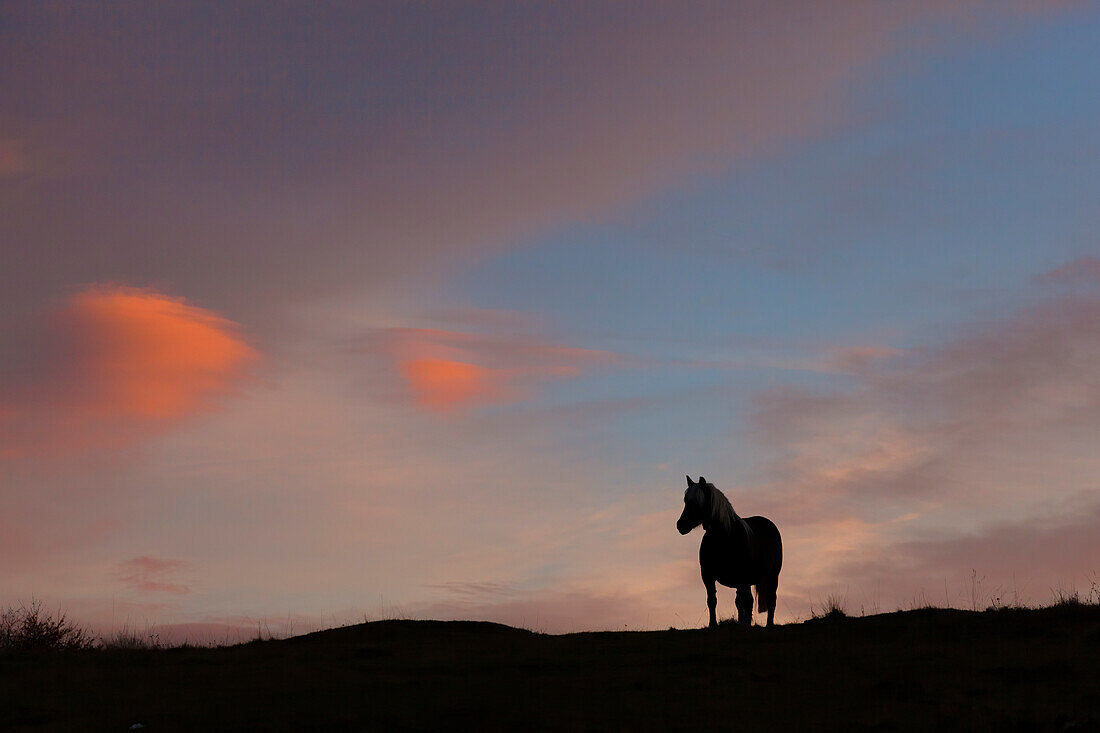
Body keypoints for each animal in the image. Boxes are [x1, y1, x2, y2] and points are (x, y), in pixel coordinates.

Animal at [668, 473, 783, 629]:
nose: (681, 525)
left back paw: (768, 624)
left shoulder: (741, 577)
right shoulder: (707, 576)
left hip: (772, 576)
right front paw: (713, 624)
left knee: (769, 599)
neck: (724, 538)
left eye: (697, 502)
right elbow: (712, 600)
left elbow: (742, 602)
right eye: (686, 501)